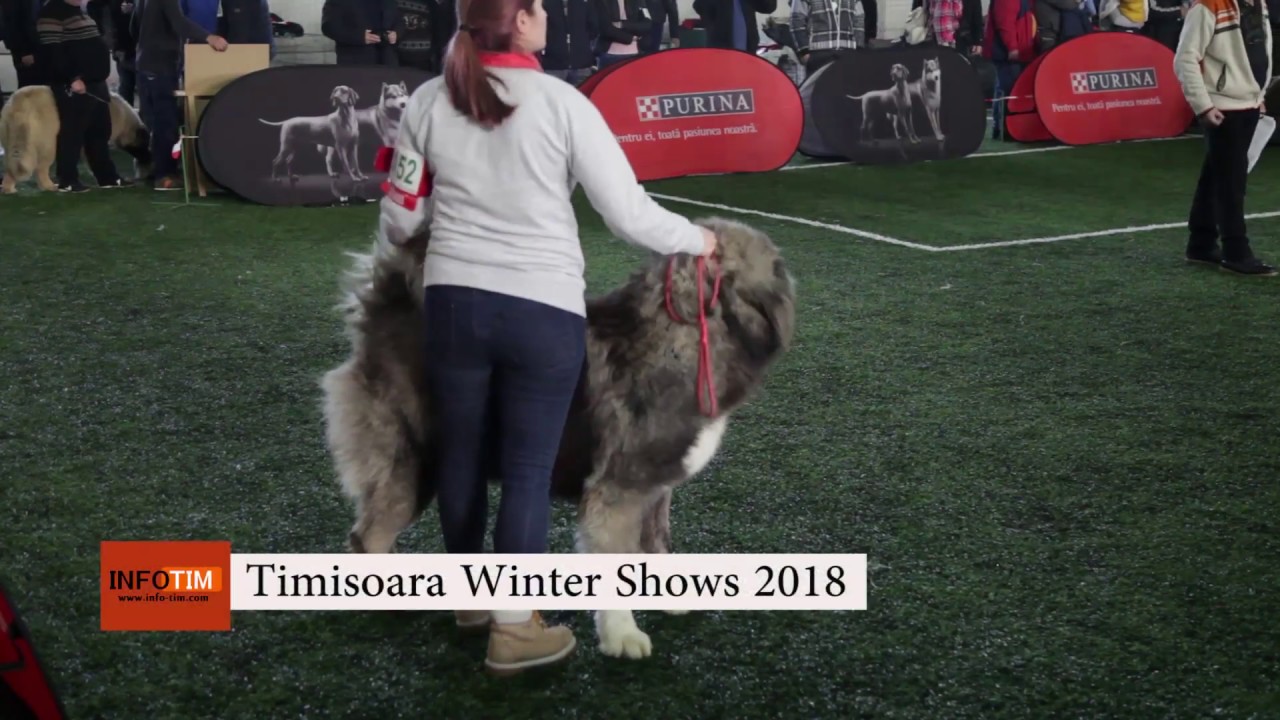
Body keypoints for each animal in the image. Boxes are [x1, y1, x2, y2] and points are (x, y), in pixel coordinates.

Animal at [0, 85, 152, 192]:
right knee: (41, 167)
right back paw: (49, 186)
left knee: (12, 164)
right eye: (145, 145)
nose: (147, 159)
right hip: (46, 141)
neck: (124, 118)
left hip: (10, 138)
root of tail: (19, 105)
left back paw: (8, 188)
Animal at [322, 217, 788, 655]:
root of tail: (386, 303)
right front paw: (623, 636)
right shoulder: (618, 490)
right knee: (368, 537)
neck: (686, 332)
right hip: (413, 464)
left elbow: (657, 545)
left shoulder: (656, 488)